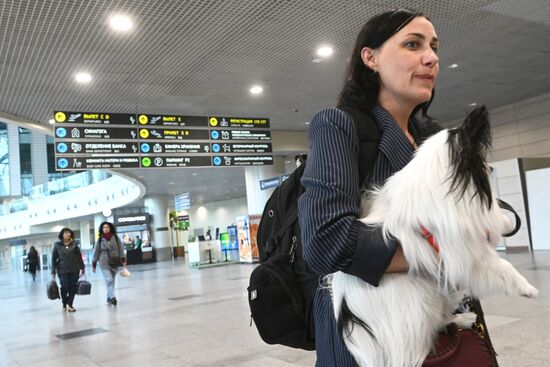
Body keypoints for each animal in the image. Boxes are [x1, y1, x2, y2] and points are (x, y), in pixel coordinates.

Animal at [332, 106, 540, 367]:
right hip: (420, 296)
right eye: (480, 158)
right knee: (431, 326)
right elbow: (502, 265)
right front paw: (528, 288)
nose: (492, 168)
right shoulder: (466, 253)